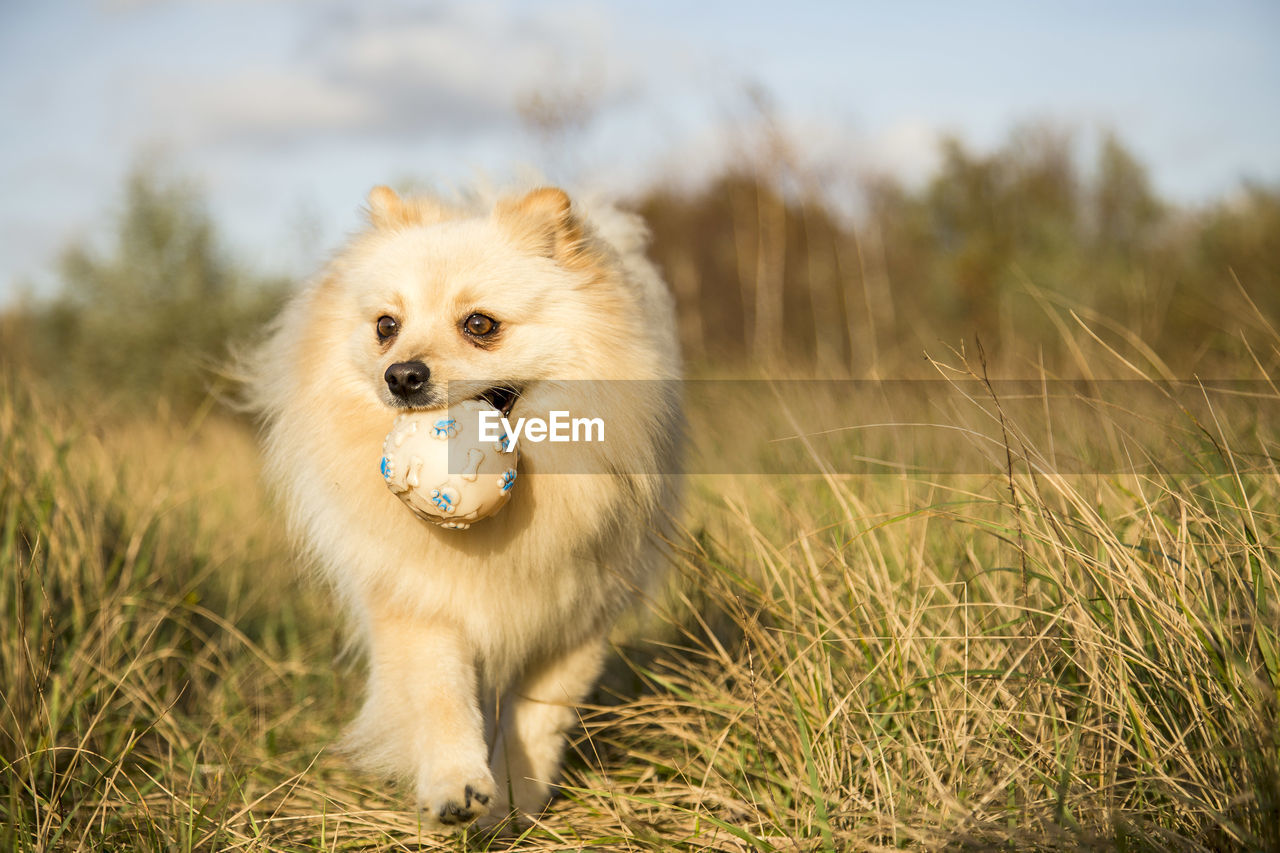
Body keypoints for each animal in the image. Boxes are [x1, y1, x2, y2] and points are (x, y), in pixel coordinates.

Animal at [240, 180, 680, 824]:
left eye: (479, 323)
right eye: (385, 326)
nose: (401, 375)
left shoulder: (577, 615)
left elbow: (539, 716)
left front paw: (514, 803)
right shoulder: (418, 600)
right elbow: (440, 693)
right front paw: (457, 784)